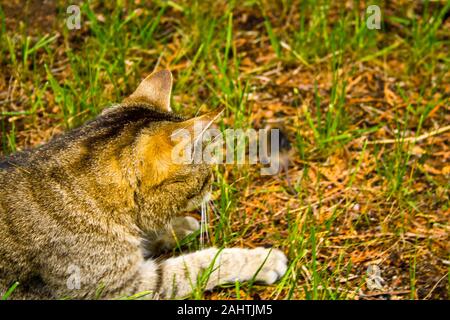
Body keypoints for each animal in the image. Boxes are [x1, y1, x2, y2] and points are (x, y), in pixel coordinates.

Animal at [0, 70, 286, 300]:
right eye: (208, 177)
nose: (212, 188)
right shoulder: (122, 289)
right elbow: (200, 265)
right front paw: (261, 261)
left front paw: (178, 228)